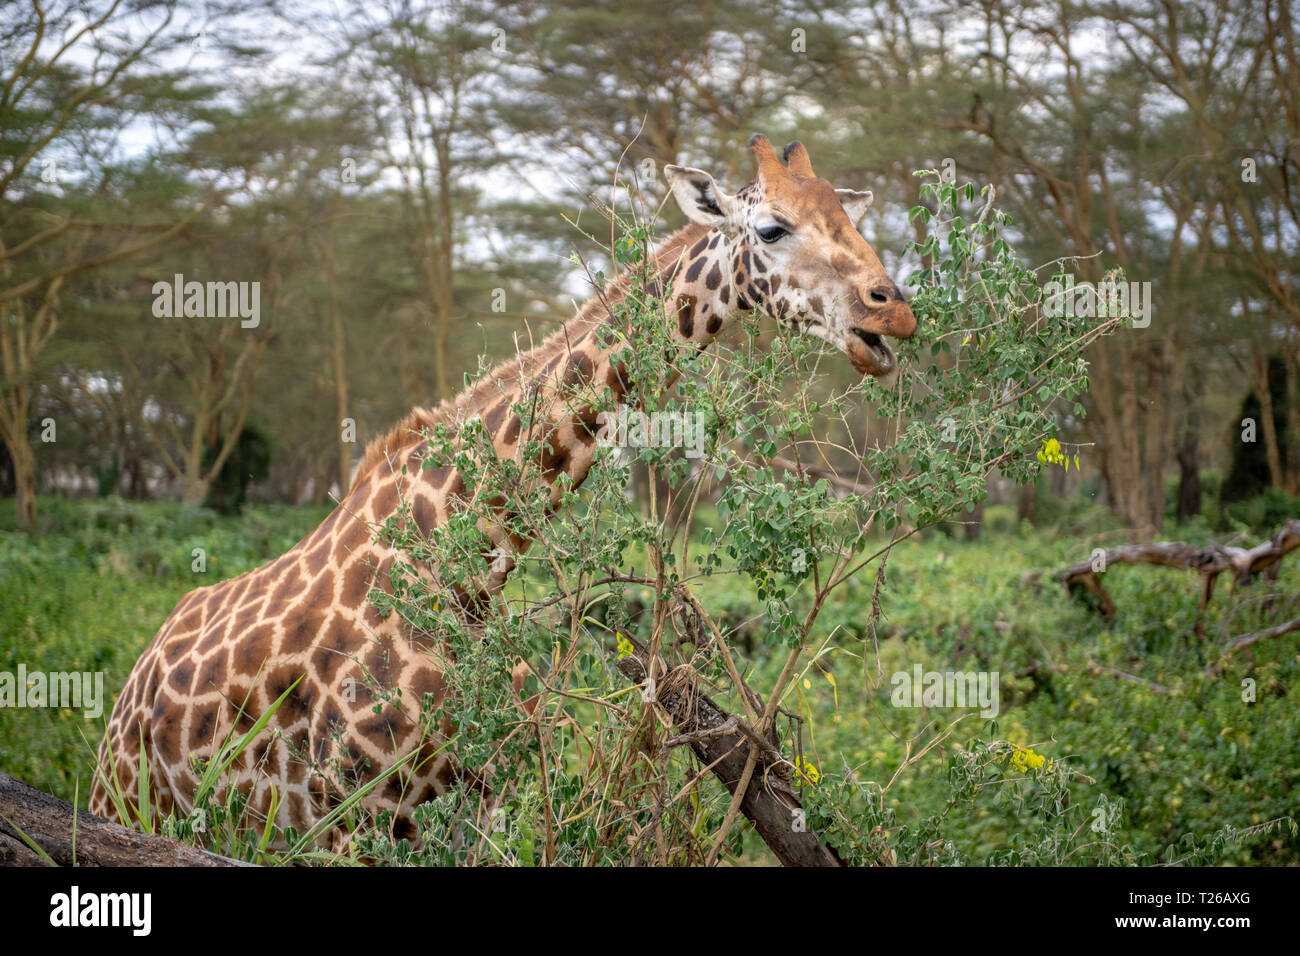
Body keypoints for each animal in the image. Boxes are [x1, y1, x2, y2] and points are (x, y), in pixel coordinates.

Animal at [88, 134, 917, 849]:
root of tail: (122, 704)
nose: (894, 310)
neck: (471, 565)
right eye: (772, 228)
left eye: (849, 216)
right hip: (142, 809)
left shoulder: (473, 801)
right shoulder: (350, 813)